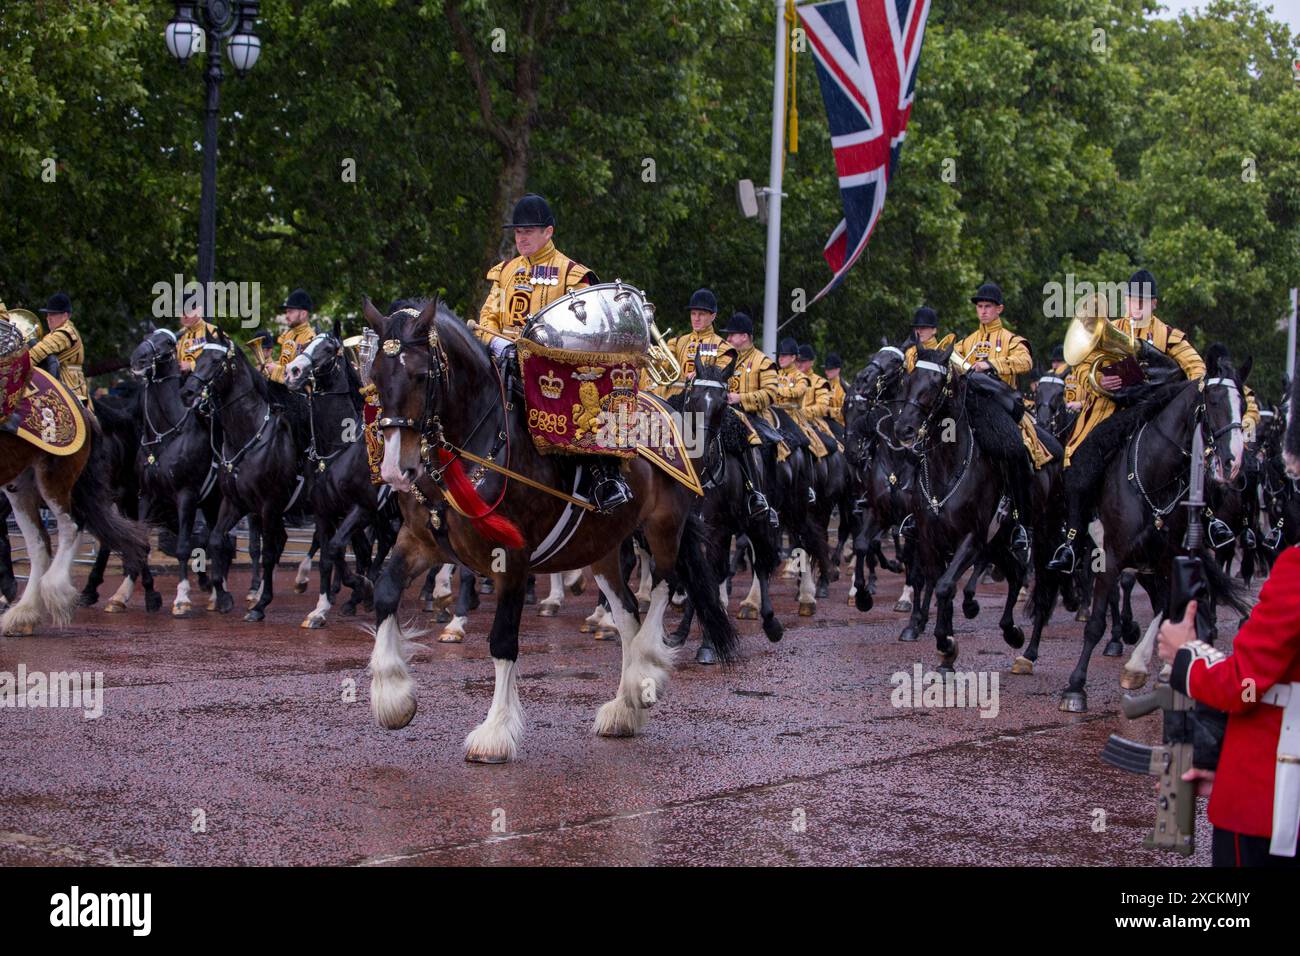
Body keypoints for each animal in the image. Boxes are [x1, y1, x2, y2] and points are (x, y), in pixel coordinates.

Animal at [180, 327, 311, 622]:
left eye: (217, 361)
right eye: (198, 357)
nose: (188, 392)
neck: (248, 434)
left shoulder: (269, 505)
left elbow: (267, 552)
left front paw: (260, 604)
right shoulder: (235, 502)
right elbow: (216, 540)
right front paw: (223, 597)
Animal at [361, 296, 736, 762]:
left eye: (419, 375)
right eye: (375, 375)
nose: (396, 470)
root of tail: (667, 407)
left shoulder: (511, 557)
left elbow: (503, 641)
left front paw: (495, 732)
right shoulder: (419, 541)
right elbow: (385, 592)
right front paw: (393, 697)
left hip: (663, 527)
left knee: (666, 585)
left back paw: (645, 676)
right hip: (602, 546)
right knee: (627, 611)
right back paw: (623, 708)